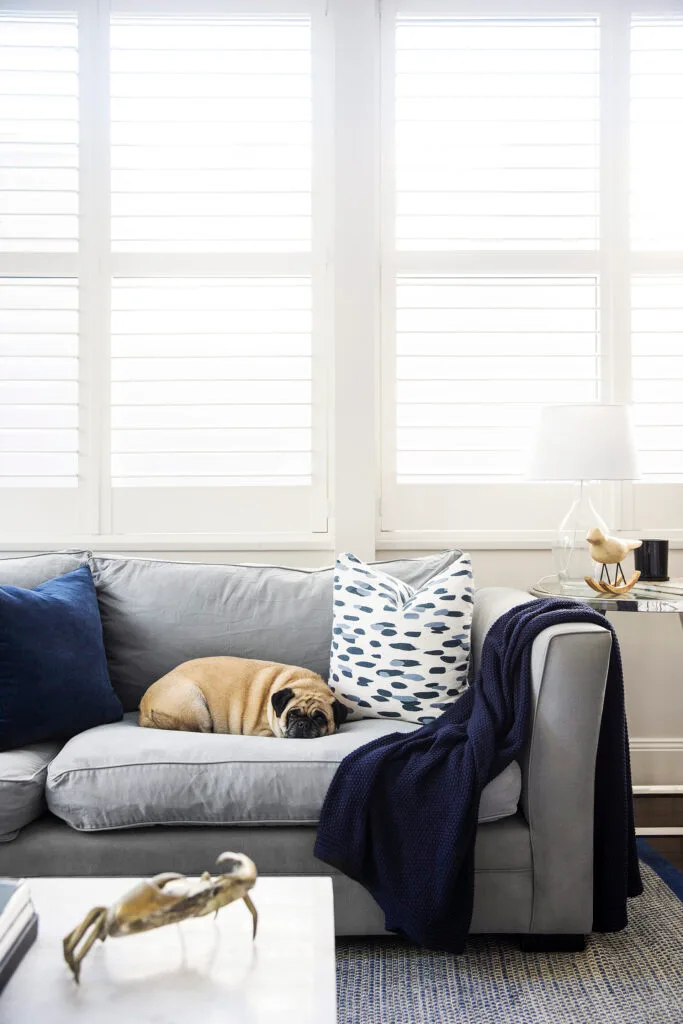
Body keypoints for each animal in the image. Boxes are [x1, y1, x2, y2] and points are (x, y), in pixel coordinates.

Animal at [139, 655, 348, 737]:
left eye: (320, 718)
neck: (303, 682)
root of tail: (143, 711)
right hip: (197, 706)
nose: (303, 724)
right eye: (292, 714)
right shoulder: (262, 731)